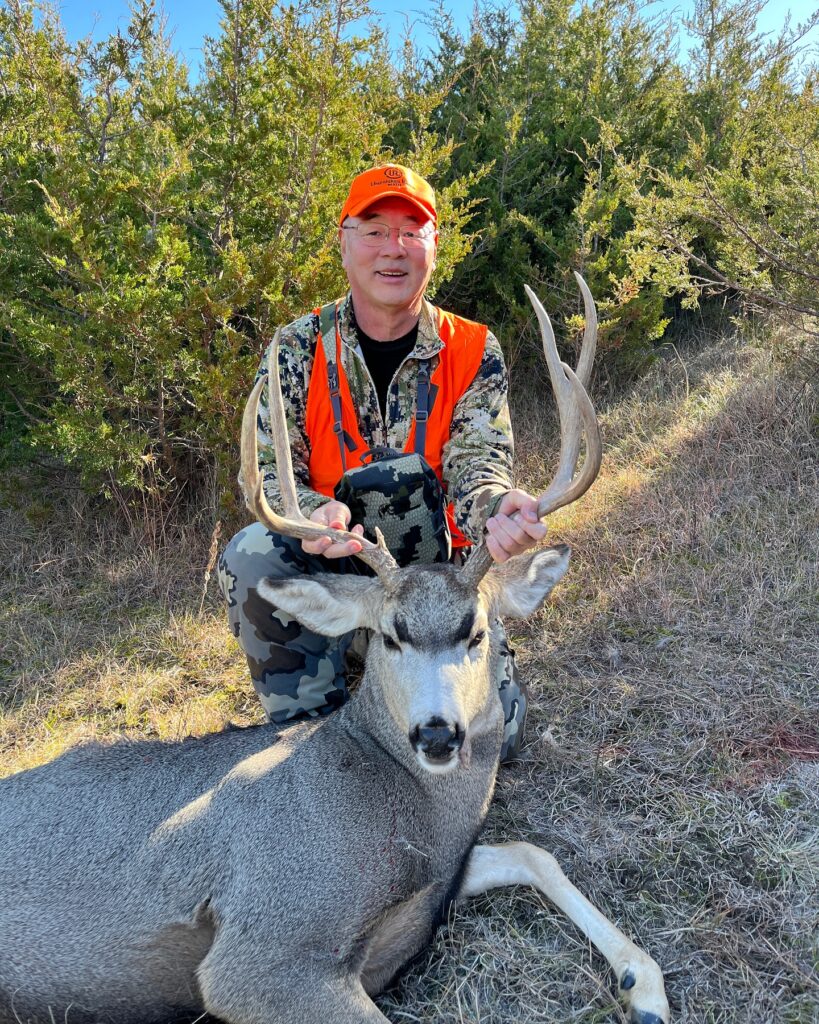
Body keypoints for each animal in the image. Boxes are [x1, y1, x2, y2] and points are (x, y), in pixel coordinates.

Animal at [0, 276, 670, 1024]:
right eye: (388, 635)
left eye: (478, 633)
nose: (437, 735)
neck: (413, 816)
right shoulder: (264, 944)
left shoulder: (438, 880)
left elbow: (532, 853)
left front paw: (644, 987)